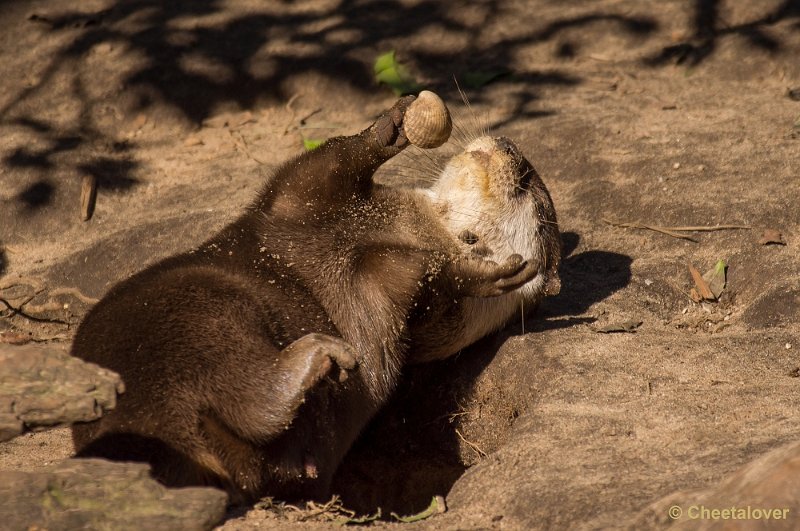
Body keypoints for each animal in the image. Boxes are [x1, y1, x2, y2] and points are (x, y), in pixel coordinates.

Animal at [70, 93, 564, 504]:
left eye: (536, 200)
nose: (514, 151)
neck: (387, 228)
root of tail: (141, 423)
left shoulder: (390, 292)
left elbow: (413, 274)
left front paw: (478, 272)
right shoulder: (297, 202)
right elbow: (324, 161)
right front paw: (394, 122)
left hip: (202, 312)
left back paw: (316, 358)